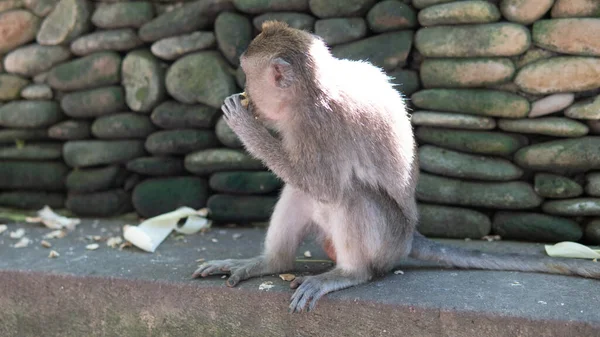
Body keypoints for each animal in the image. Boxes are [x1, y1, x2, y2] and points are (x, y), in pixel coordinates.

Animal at [192, 21, 600, 312]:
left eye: (248, 75)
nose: (245, 91)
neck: (311, 91)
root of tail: (408, 239)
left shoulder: (316, 125)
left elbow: (325, 186)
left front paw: (244, 124)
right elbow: (310, 186)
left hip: (387, 241)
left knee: (349, 194)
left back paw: (348, 273)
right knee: (301, 191)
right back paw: (270, 262)